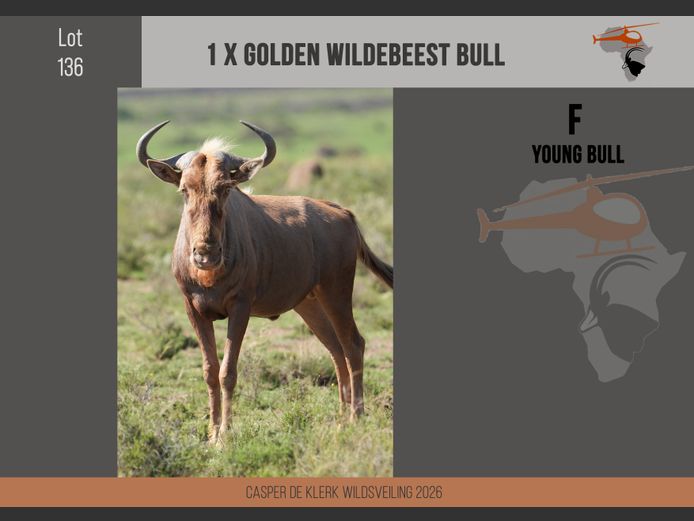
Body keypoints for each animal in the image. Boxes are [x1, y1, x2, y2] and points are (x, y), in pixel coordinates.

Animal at [136, 120, 393, 443]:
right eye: (185, 189)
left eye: (226, 187)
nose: (206, 253)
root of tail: (342, 212)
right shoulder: (193, 309)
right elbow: (209, 370)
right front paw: (211, 434)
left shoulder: (240, 307)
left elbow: (228, 371)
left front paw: (224, 436)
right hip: (310, 305)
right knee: (336, 350)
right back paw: (340, 422)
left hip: (337, 293)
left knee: (353, 345)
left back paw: (356, 419)